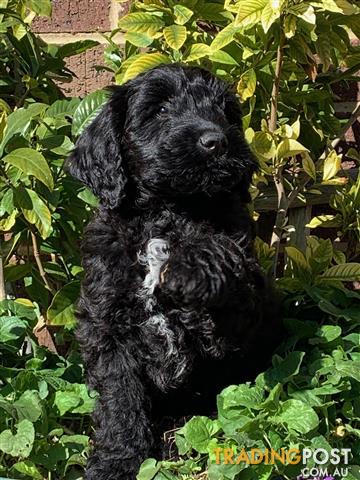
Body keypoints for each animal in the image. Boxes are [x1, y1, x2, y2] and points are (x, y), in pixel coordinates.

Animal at [69, 64, 280, 480]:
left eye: (225, 111)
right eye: (161, 110)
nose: (217, 141)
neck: (167, 209)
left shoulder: (241, 309)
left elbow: (220, 250)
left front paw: (185, 268)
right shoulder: (108, 326)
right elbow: (120, 400)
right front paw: (116, 461)